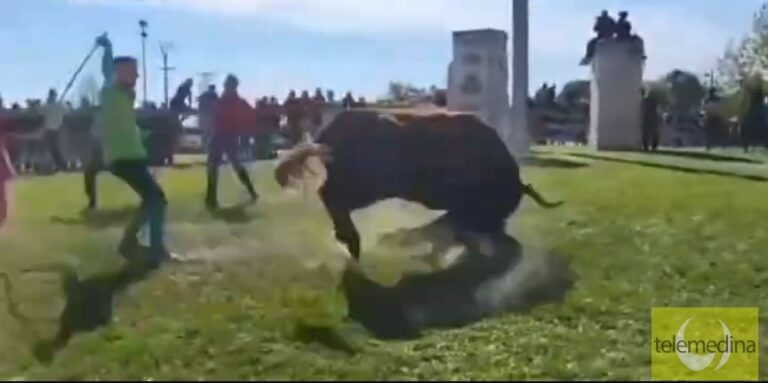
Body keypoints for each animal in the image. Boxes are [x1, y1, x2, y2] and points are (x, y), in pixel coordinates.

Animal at [276, 111, 564, 260]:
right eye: (504, 201)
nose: (498, 232)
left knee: (330, 195)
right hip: (367, 187)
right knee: (330, 195)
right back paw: (353, 242)